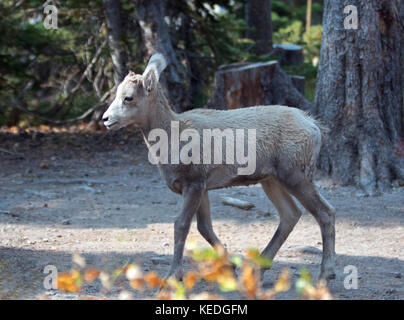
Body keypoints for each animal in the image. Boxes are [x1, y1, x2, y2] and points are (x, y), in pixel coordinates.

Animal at [102, 53, 336, 282]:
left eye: (128, 97)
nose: (106, 119)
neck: (172, 137)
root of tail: (315, 128)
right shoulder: (203, 186)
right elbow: (204, 227)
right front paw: (230, 266)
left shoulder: (194, 182)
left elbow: (181, 225)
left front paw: (172, 277)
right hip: (271, 179)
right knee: (291, 214)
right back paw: (258, 270)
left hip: (295, 174)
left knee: (325, 211)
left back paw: (326, 274)